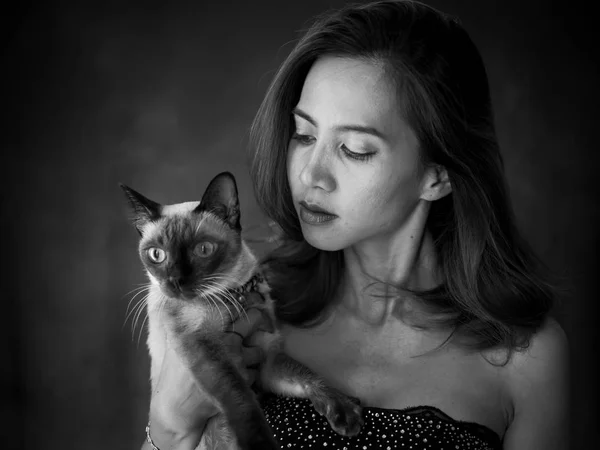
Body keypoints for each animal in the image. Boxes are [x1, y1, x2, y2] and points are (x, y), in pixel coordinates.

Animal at [120, 171, 360, 448]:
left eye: (203, 250)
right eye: (156, 255)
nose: (175, 281)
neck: (235, 292)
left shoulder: (266, 356)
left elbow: (305, 374)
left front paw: (343, 409)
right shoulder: (202, 346)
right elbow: (241, 401)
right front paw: (260, 443)